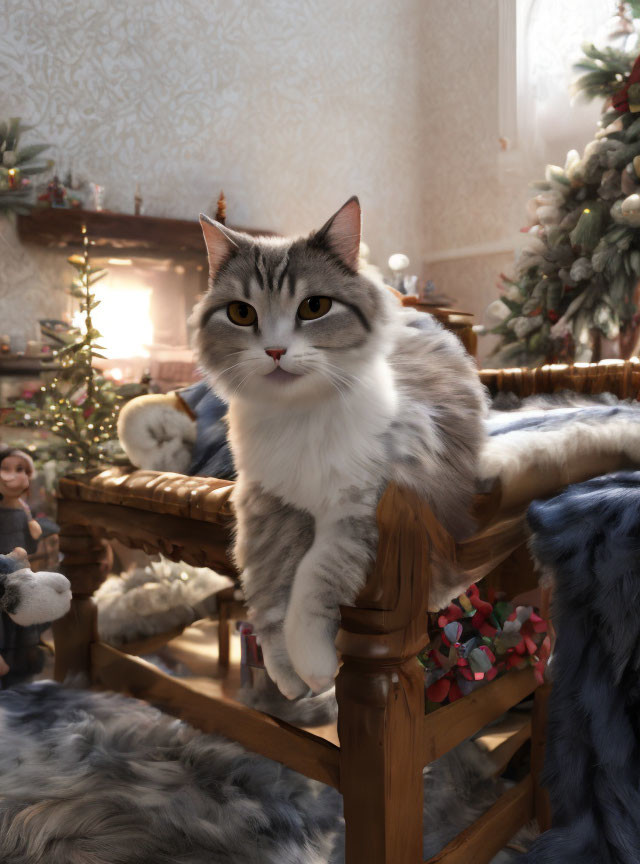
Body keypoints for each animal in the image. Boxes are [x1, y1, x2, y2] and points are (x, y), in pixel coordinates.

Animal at [195, 196, 484, 696]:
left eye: (314, 307)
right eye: (242, 314)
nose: (274, 351)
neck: (299, 418)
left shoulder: (361, 508)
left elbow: (314, 574)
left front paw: (313, 663)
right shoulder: (264, 502)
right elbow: (268, 589)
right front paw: (286, 675)